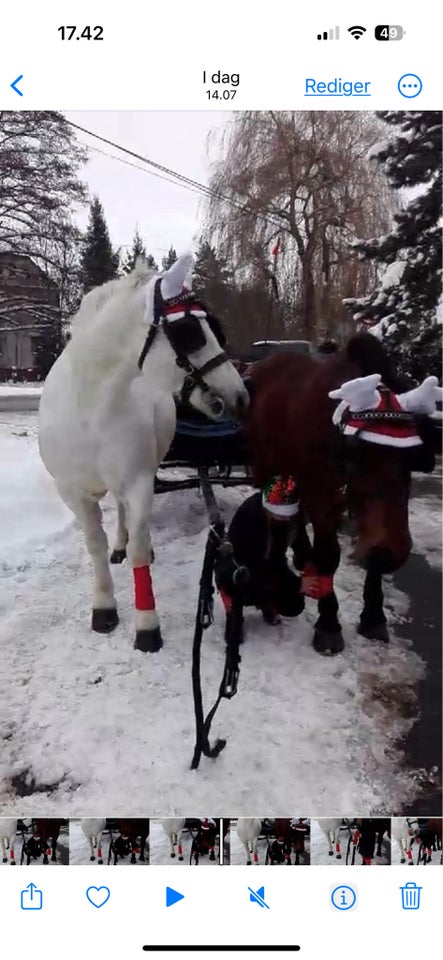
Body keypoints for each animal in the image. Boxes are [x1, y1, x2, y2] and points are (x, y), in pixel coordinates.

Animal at [39, 253, 248, 652]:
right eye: (189, 331)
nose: (240, 396)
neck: (91, 407)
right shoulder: (72, 491)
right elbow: (94, 545)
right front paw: (104, 606)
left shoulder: (138, 479)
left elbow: (138, 545)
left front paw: (147, 624)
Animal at [248, 334, 442, 656]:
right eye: (355, 456)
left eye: (414, 457)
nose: (393, 553)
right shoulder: (324, 495)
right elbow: (328, 555)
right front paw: (328, 624)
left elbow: (370, 556)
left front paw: (374, 616)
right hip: (266, 464)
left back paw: (303, 555)